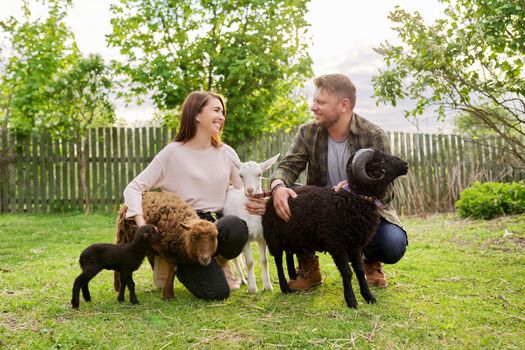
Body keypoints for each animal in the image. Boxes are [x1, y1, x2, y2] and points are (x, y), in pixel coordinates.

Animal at [222, 153, 280, 292]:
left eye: (259, 174)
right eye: (241, 175)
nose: (249, 190)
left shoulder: (262, 236)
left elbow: (264, 261)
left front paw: (268, 286)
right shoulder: (246, 237)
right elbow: (250, 262)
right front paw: (253, 289)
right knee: (235, 258)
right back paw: (242, 280)